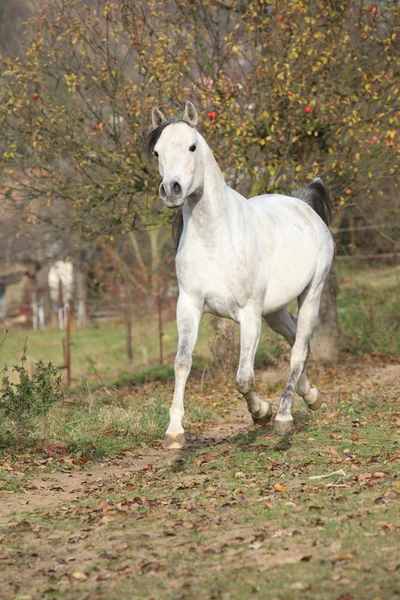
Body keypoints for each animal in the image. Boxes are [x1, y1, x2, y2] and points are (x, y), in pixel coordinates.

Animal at [147, 104, 334, 450]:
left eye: (192, 147)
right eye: (156, 152)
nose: (171, 190)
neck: (215, 239)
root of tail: (304, 205)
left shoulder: (248, 314)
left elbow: (244, 377)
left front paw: (261, 413)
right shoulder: (188, 306)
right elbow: (182, 363)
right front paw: (175, 431)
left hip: (311, 294)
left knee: (298, 350)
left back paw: (284, 417)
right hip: (274, 311)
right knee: (294, 341)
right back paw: (311, 396)